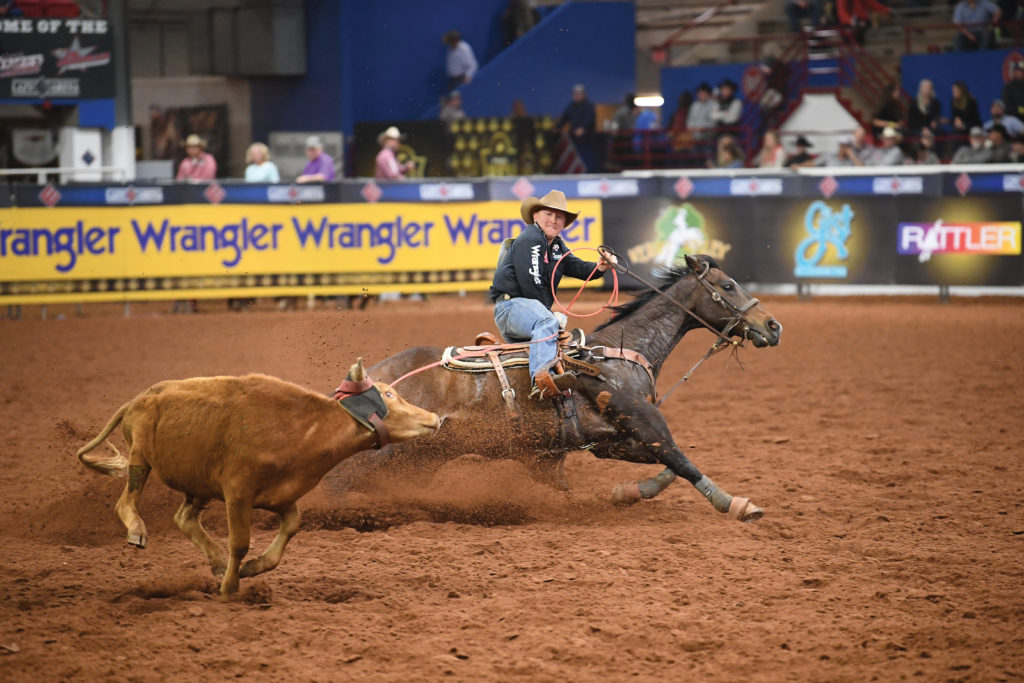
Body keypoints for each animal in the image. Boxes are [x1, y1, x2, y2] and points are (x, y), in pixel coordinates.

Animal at [356, 255, 778, 524]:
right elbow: (681, 461)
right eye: (728, 286)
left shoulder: (614, 439)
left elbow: (670, 468)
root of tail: (375, 375)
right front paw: (736, 504)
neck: (621, 351)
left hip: (421, 460)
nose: (773, 326)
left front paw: (626, 493)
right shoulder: (643, 420)